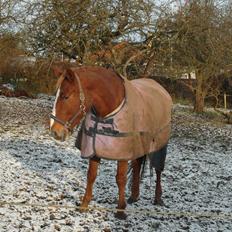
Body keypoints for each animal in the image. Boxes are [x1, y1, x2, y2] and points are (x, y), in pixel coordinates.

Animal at [49, 65, 172, 219]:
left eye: (65, 96)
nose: (54, 132)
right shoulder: (94, 149)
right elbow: (91, 175)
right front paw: (84, 204)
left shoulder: (123, 153)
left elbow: (120, 179)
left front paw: (120, 210)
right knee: (137, 165)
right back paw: (134, 196)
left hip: (160, 144)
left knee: (158, 170)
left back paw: (158, 198)